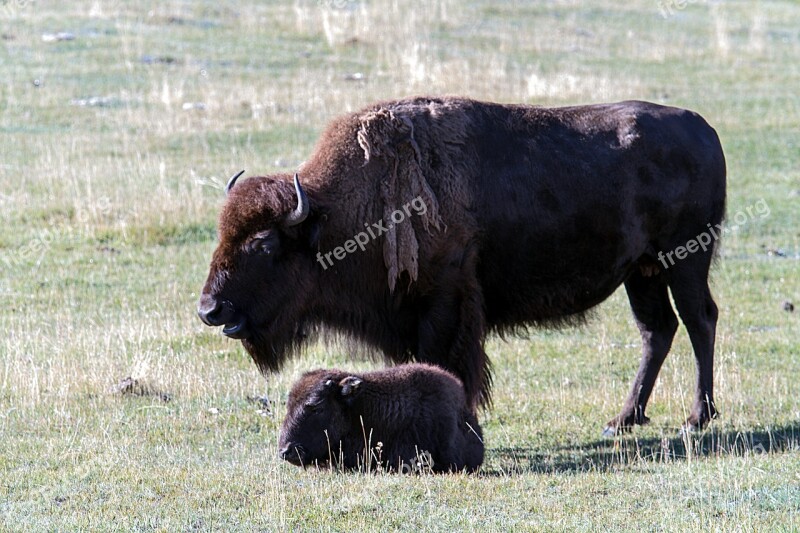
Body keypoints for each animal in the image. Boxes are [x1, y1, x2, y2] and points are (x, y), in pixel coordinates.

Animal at [198, 96, 724, 432]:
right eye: (222, 234)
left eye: (265, 245)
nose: (210, 309)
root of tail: (704, 127)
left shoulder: (444, 304)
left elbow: (445, 364)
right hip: (642, 272)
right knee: (657, 330)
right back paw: (624, 420)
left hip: (685, 258)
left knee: (699, 320)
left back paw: (698, 417)